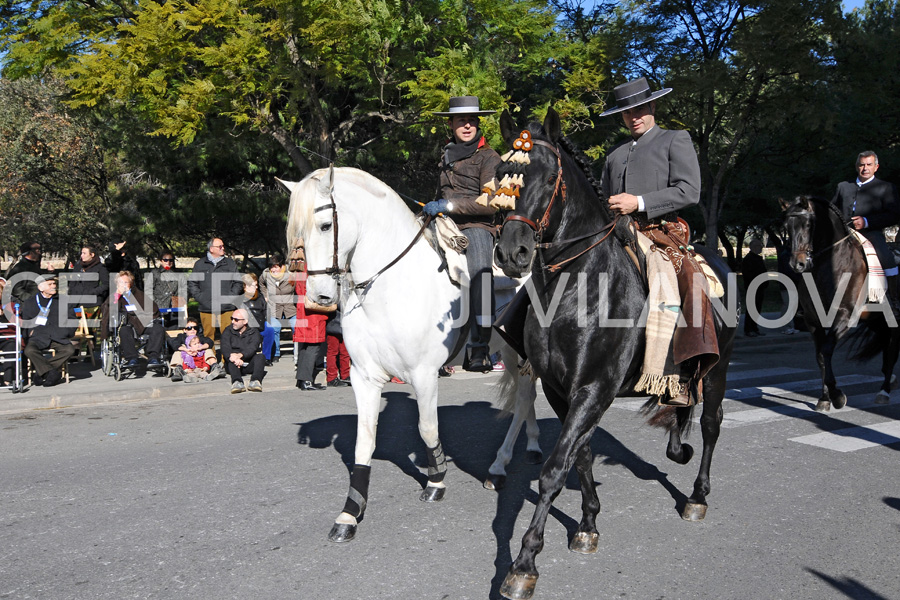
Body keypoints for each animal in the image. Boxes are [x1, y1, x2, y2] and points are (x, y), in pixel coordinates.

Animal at [282, 166, 540, 540]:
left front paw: (436, 481)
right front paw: (350, 513)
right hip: (509, 353)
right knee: (526, 397)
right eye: (297, 231)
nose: (319, 297)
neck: (390, 287)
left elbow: (427, 428)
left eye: (326, 225)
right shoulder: (364, 377)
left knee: (523, 400)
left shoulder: (424, 374)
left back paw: (499, 466)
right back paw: (530, 447)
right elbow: (364, 440)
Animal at [492, 109, 740, 600]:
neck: (576, 287)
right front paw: (588, 523)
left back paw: (697, 496)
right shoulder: (561, 390)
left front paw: (525, 563)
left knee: (710, 424)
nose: (513, 252)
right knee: (680, 409)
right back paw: (676, 450)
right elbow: (581, 455)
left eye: (548, 177)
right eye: (503, 174)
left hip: (717, 370)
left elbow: (555, 468)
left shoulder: (594, 388)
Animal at [784, 195, 896, 410]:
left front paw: (837, 396)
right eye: (786, 226)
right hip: (877, 320)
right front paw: (824, 398)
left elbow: (827, 350)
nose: (797, 264)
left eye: (808, 224)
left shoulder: (845, 316)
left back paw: (885, 391)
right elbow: (820, 357)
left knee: (892, 350)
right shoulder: (813, 321)